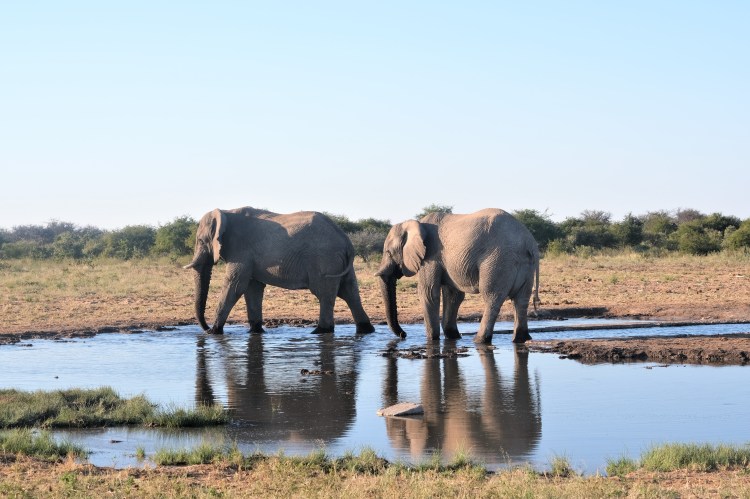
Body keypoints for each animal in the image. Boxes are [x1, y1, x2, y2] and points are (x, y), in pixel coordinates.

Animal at [184, 207, 375, 335]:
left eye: (200, 241)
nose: (206, 328)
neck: (225, 212)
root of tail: (346, 240)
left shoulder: (241, 251)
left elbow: (236, 285)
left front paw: (214, 332)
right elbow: (253, 289)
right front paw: (256, 331)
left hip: (324, 259)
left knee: (325, 294)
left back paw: (320, 331)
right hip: (339, 262)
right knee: (350, 292)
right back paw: (366, 330)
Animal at [376, 208, 540, 344]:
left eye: (388, 252)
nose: (403, 335)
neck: (414, 224)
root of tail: (529, 242)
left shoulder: (430, 256)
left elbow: (428, 293)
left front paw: (432, 340)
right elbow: (453, 295)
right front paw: (453, 336)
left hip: (498, 260)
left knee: (492, 297)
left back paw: (479, 340)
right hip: (524, 265)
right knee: (521, 300)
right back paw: (521, 339)